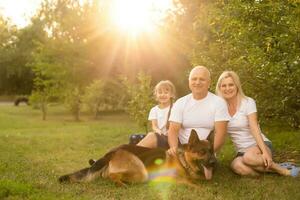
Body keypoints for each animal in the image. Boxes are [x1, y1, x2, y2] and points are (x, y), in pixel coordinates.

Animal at [58, 130, 216, 186]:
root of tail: (112, 153)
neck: (183, 161)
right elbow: (194, 185)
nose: (214, 163)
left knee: (107, 175)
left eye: (212, 151)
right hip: (141, 172)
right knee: (113, 175)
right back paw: (121, 184)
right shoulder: (175, 179)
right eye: (202, 152)